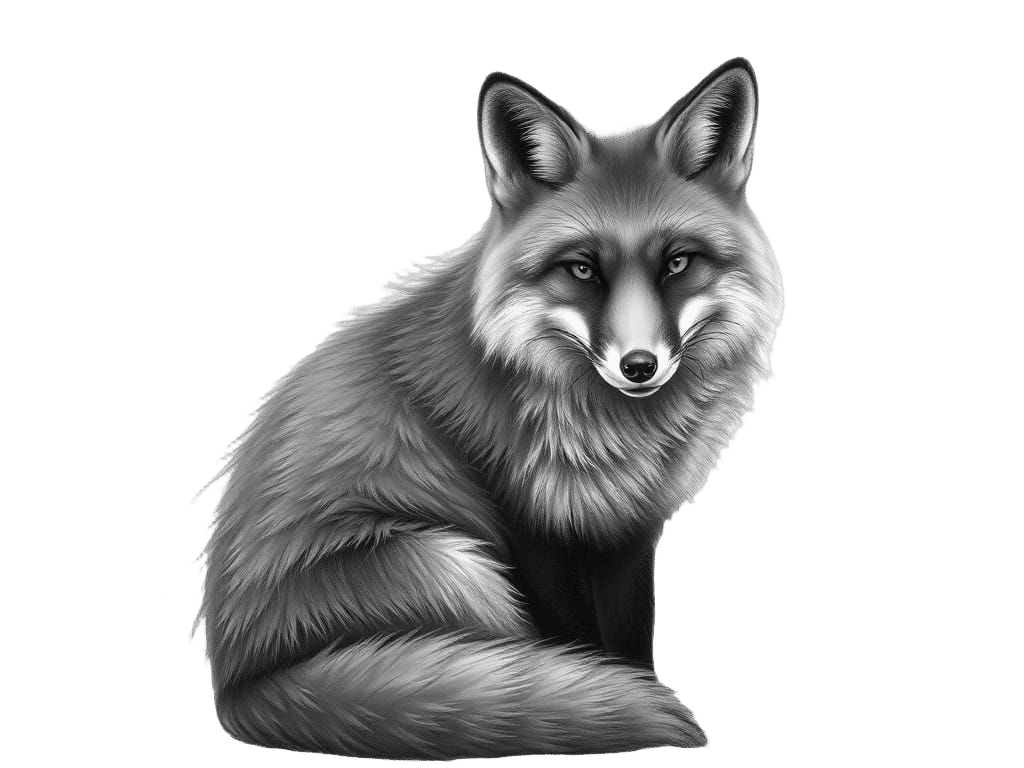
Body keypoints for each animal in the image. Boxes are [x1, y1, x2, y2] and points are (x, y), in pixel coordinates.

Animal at [191, 57, 785, 759]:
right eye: (582, 270)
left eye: (677, 263)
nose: (639, 366)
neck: (612, 432)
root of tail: (240, 690)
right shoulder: (521, 520)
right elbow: (578, 644)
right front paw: (617, 699)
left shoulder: (628, 529)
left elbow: (629, 639)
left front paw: (633, 687)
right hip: (454, 566)